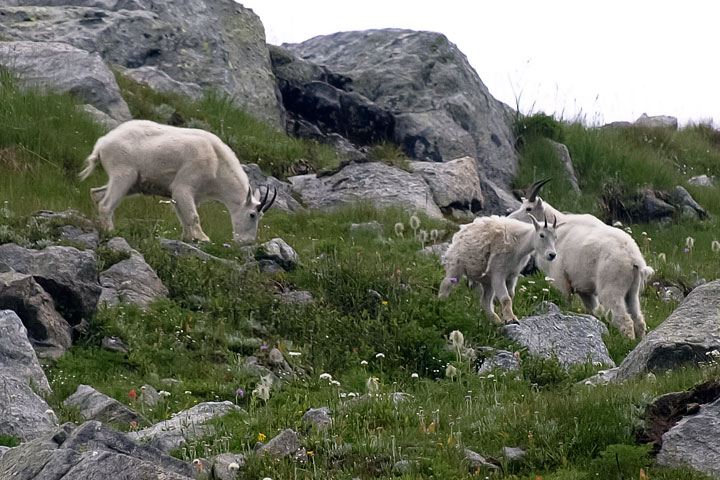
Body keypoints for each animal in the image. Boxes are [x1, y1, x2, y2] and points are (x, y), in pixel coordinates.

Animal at [79, 120, 276, 244]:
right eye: (252, 214)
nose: (247, 242)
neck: (217, 163)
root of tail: (102, 144)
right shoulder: (184, 187)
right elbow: (193, 216)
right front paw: (203, 238)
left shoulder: (189, 195)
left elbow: (184, 216)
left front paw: (189, 238)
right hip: (124, 173)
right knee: (106, 204)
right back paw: (111, 231)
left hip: (132, 184)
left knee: (97, 194)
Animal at [510, 178, 656, 340]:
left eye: (528, 208)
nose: (509, 218)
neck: (557, 231)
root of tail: (634, 259)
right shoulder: (584, 290)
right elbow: (593, 311)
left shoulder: (560, 278)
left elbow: (565, 302)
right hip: (633, 291)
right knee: (638, 319)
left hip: (612, 287)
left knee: (625, 319)